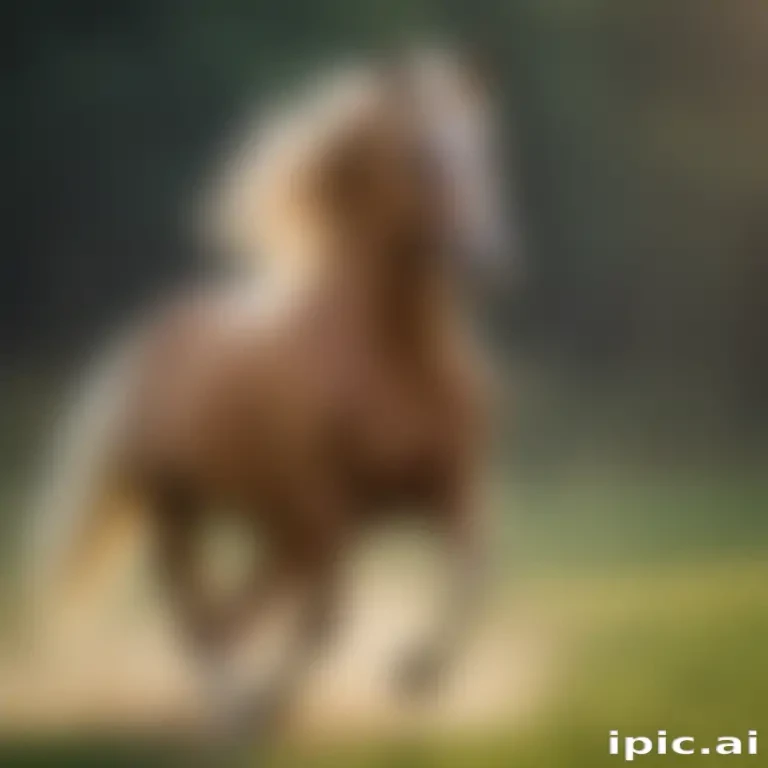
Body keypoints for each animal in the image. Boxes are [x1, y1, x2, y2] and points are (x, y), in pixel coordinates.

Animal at [29, 46, 512, 738]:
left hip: (275, 526)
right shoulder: (323, 503)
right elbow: (326, 620)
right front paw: (268, 709)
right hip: (181, 505)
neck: (395, 361)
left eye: (485, 148)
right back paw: (231, 711)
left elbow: (475, 572)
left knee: (233, 611)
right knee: (197, 611)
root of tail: (147, 340)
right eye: (420, 154)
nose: (491, 256)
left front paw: (416, 674)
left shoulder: (449, 486)